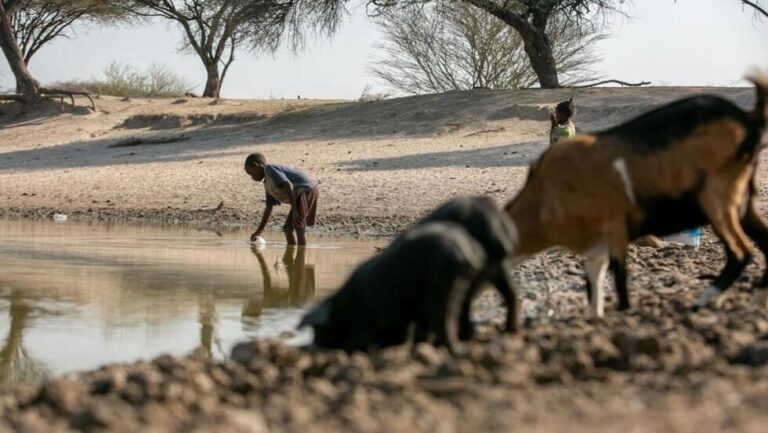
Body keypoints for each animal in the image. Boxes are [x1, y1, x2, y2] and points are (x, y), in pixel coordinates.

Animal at [504, 73, 768, 318]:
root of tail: (746, 118)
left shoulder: (614, 227)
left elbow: (619, 276)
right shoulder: (596, 245)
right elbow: (595, 281)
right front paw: (594, 316)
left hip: (717, 198)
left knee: (740, 252)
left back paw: (706, 299)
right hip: (742, 200)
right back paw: (753, 299)